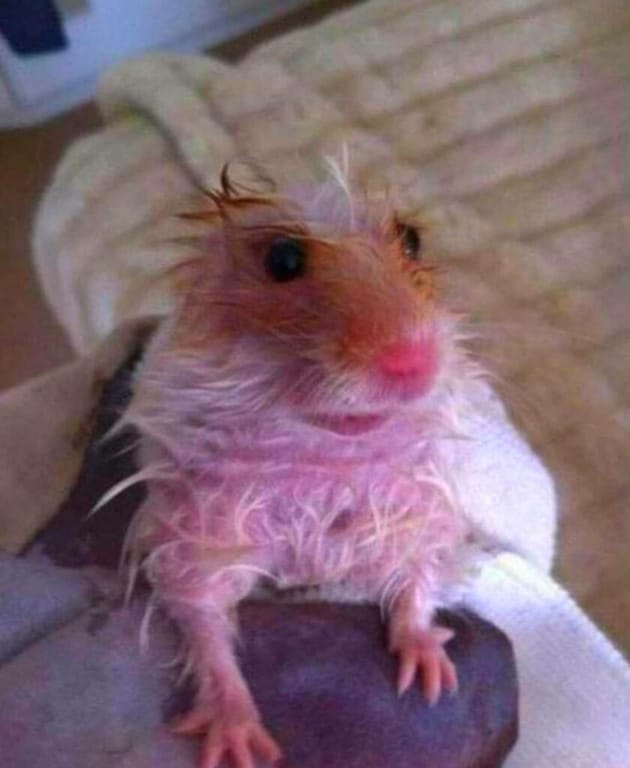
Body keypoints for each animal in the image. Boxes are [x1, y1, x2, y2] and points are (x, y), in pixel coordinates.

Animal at [121, 166, 482, 768]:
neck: (324, 455)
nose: (414, 360)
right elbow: (199, 605)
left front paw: (430, 667)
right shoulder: (200, 518)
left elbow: (419, 568)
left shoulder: (413, 502)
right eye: (284, 259)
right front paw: (237, 736)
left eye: (412, 240)